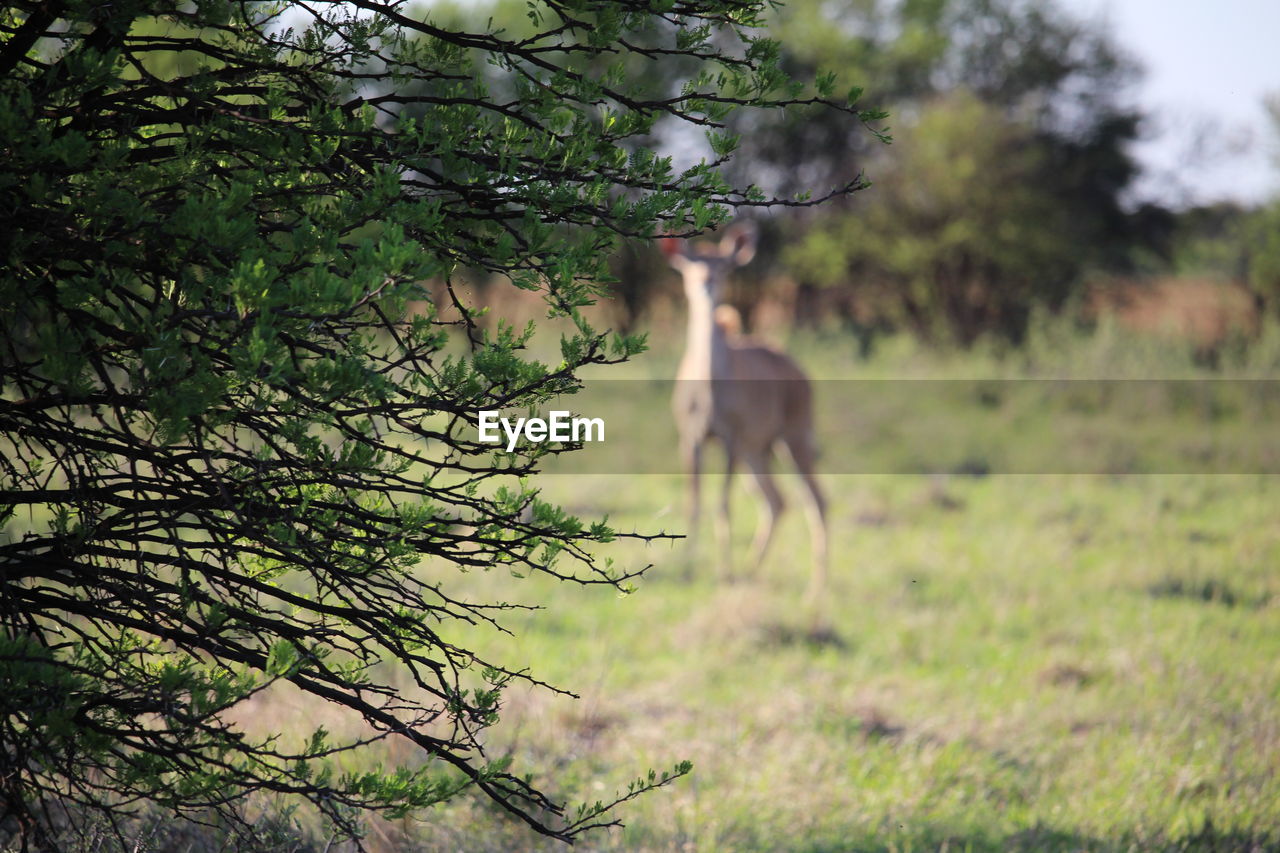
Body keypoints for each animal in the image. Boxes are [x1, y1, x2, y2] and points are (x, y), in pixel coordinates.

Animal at [660, 225, 829, 596]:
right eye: (691, 265)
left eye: (724, 266)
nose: (707, 282)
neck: (709, 388)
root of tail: (800, 373)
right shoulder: (690, 438)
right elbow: (694, 503)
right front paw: (687, 569)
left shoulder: (731, 439)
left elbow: (723, 505)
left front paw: (724, 571)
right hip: (759, 451)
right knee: (777, 501)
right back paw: (752, 570)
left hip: (792, 437)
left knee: (816, 500)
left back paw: (816, 586)